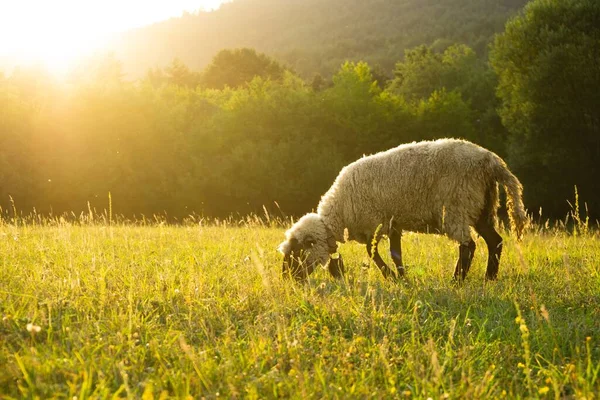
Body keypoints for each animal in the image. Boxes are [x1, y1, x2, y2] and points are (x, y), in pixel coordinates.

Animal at [278, 139, 528, 282]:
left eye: (297, 252)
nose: (287, 279)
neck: (340, 213)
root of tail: (491, 160)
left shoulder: (376, 222)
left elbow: (372, 252)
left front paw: (390, 276)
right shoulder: (393, 224)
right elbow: (394, 252)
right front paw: (401, 276)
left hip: (457, 205)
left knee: (468, 245)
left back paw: (457, 280)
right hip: (480, 208)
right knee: (495, 241)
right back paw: (489, 278)